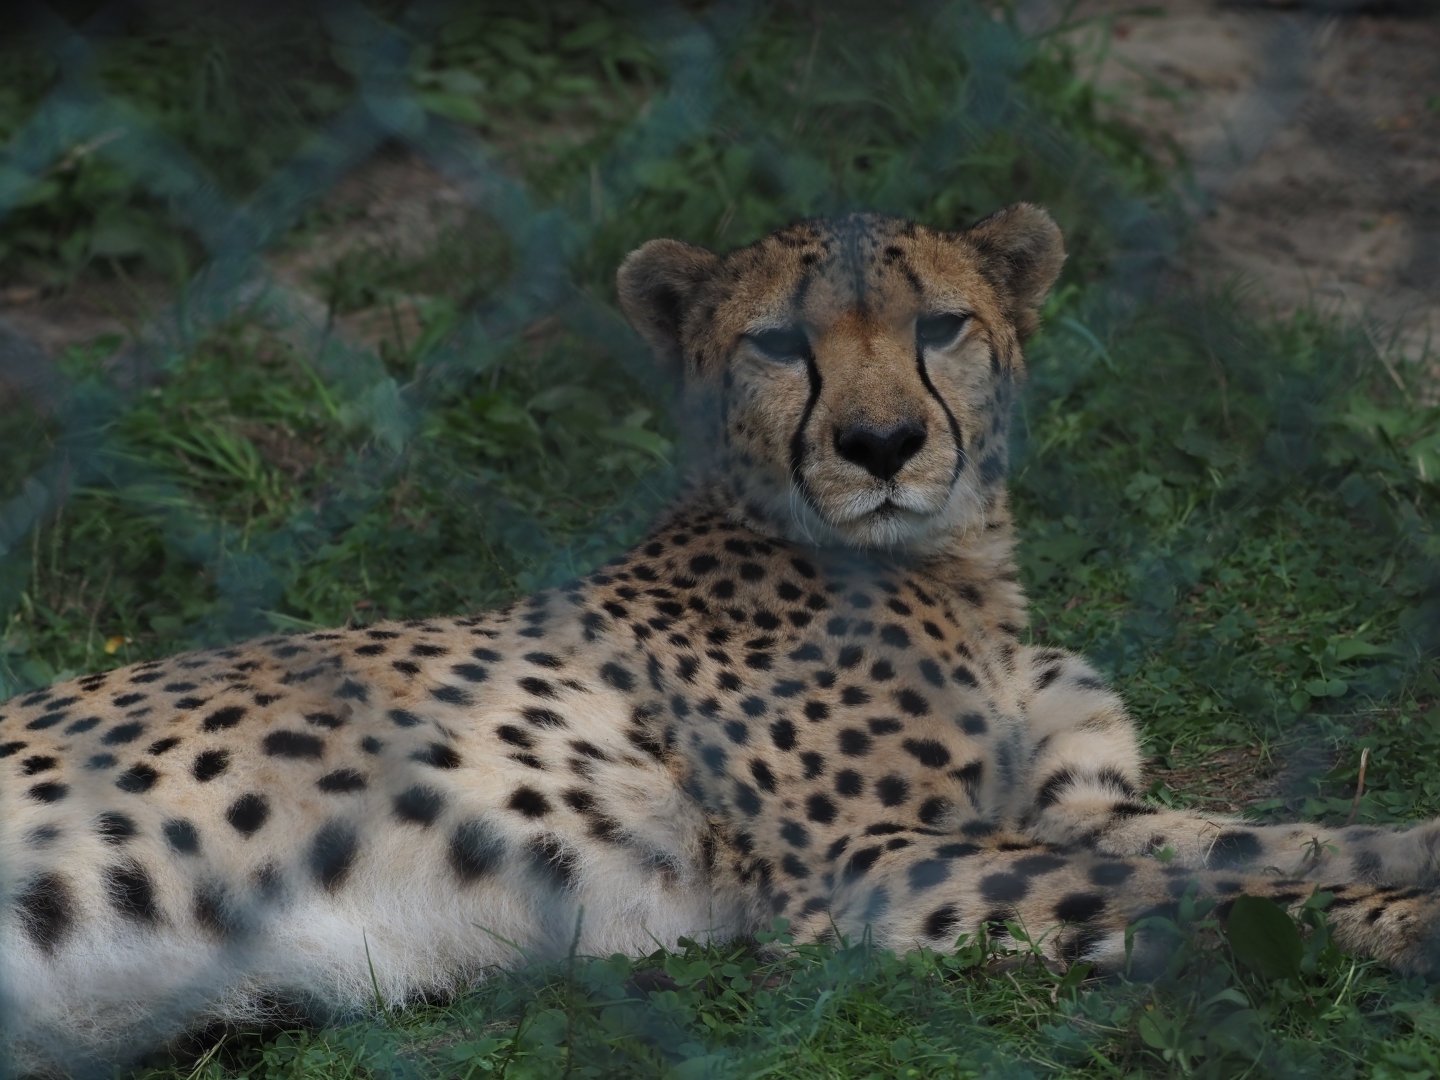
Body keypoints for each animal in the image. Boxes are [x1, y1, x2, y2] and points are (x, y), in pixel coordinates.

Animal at [4, 204, 1440, 1076]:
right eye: (777, 343)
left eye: (942, 325)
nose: (880, 446)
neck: (955, 573)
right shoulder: (873, 867)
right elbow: (1215, 894)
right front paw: (1401, 928)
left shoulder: (1072, 807)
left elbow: (1265, 842)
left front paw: (1408, 855)